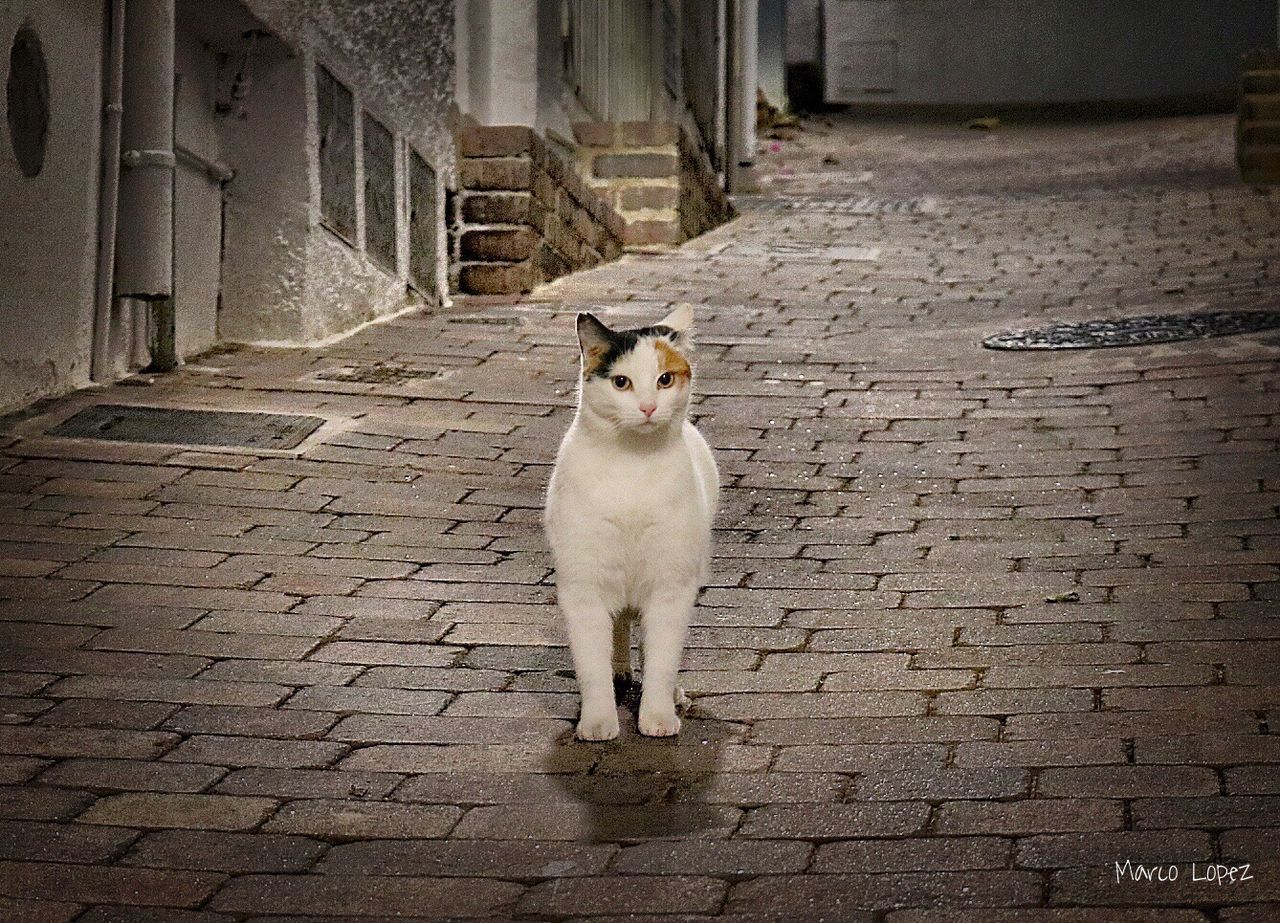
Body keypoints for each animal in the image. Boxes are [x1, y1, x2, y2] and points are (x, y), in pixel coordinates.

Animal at [542, 305, 721, 737]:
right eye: (621, 382)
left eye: (664, 379)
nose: (648, 407)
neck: (632, 464)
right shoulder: (583, 585)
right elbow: (591, 663)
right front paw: (597, 722)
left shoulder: (671, 585)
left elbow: (661, 660)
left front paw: (656, 716)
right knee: (620, 626)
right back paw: (619, 674)